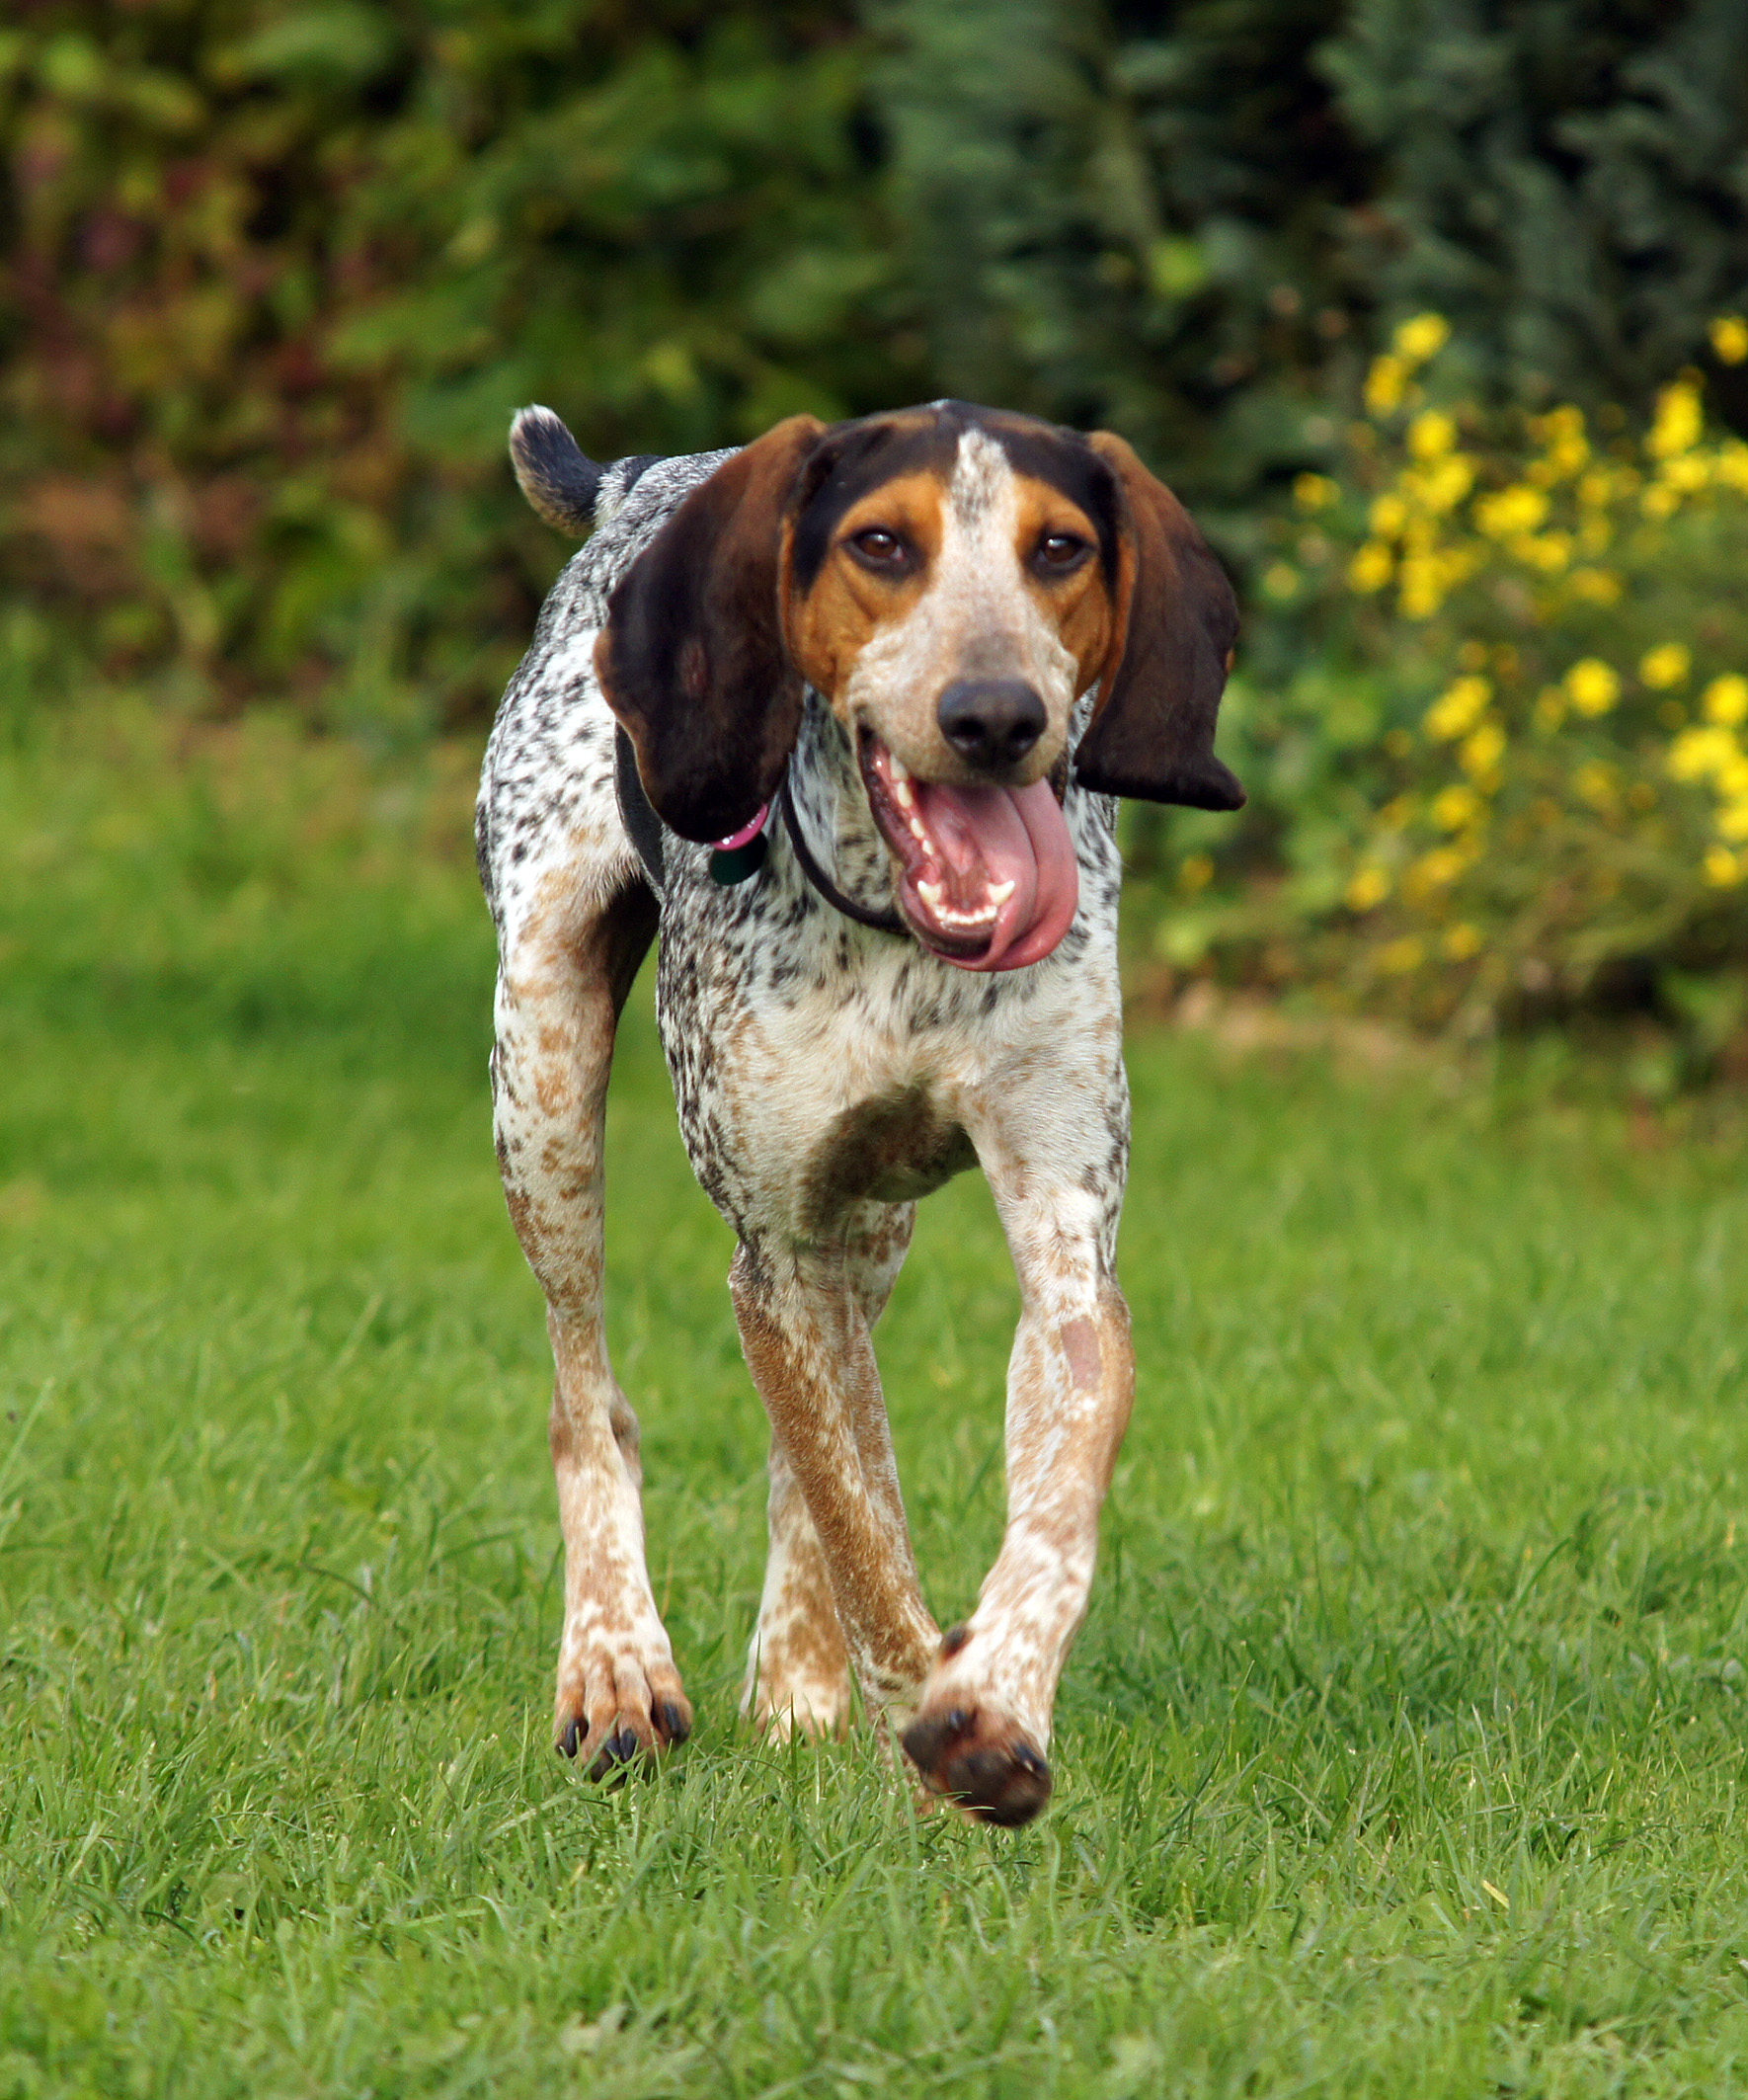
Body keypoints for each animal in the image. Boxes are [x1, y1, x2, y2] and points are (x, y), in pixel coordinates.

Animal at [478, 396, 1241, 1822]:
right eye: (881, 543)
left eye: (1058, 547)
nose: (995, 715)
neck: (903, 934)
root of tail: (634, 476)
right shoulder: (773, 1250)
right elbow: (861, 1516)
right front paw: (926, 1714)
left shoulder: (1063, 1232)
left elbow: (1047, 1499)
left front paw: (988, 1697)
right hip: (542, 1074)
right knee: (588, 1391)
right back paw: (615, 1668)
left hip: (865, 1226)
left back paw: (798, 1683)